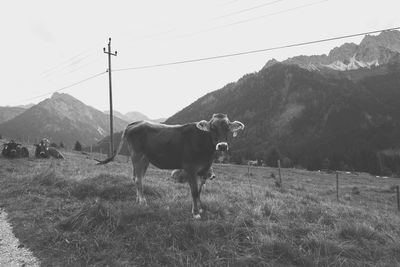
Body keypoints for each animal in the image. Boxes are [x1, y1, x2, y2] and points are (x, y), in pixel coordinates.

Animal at [96, 113, 244, 220]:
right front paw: (196, 213)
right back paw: (143, 202)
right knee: (138, 179)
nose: (222, 146)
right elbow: (194, 191)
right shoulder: (190, 168)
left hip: (144, 159)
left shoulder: (202, 170)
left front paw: (200, 208)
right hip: (137, 155)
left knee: (137, 178)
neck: (207, 152)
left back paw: (138, 200)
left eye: (228, 127)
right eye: (212, 127)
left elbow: (200, 191)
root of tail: (135, 123)